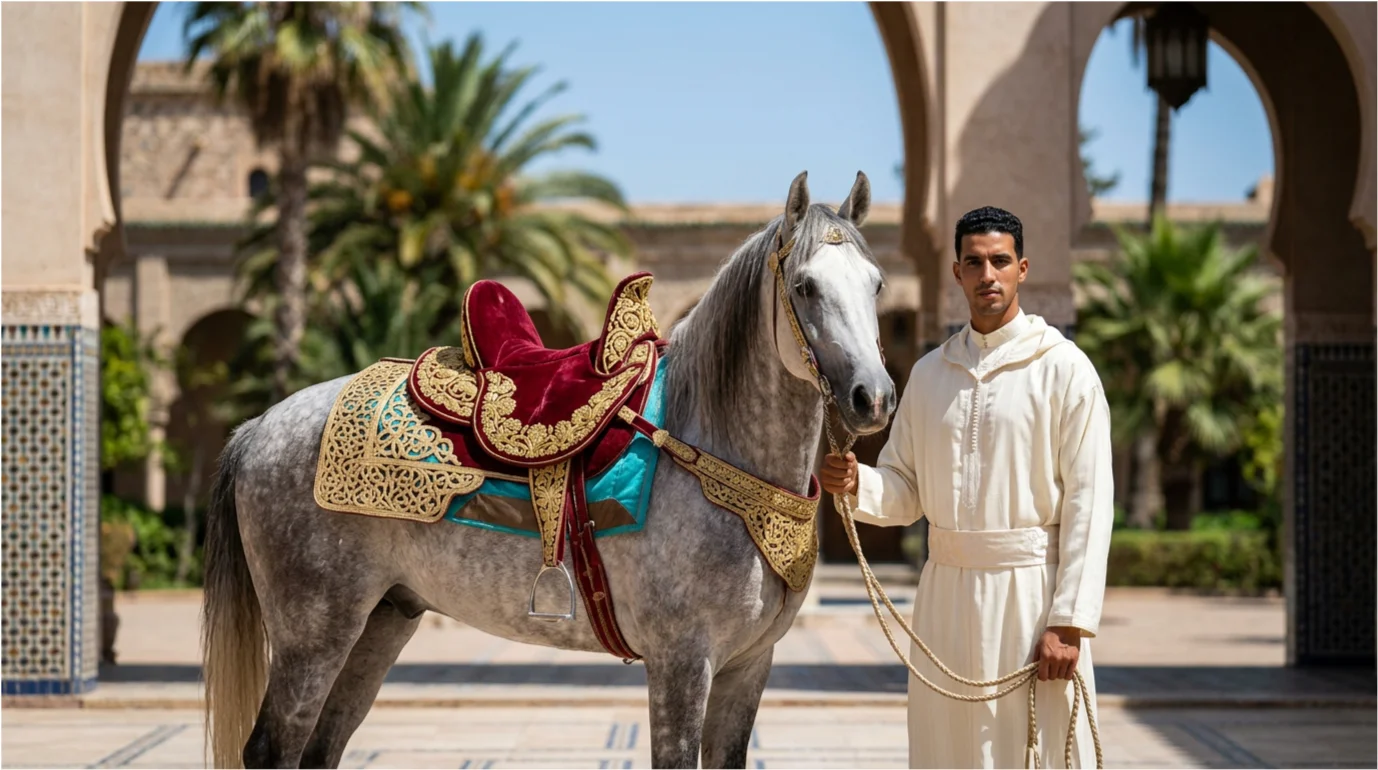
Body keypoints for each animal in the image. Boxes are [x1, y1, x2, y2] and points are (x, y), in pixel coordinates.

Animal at [201, 170, 897, 769]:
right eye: (805, 286)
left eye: (877, 283)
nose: (874, 397)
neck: (710, 447)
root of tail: (258, 428)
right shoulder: (682, 662)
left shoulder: (749, 666)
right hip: (313, 631)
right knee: (274, 749)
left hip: (382, 619)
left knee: (323, 748)